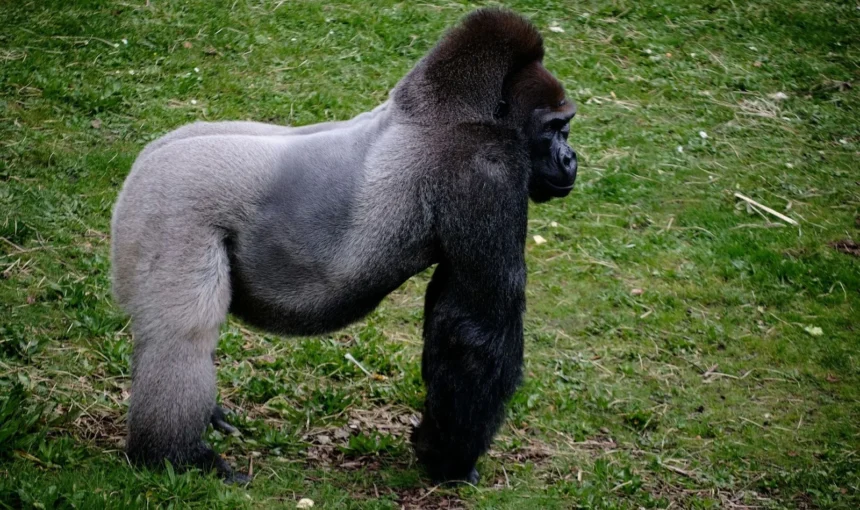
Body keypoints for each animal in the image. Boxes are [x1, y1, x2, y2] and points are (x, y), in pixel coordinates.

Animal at [111, 7, 577, 485]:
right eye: (556, 128)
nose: (570, 159)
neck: (454, 112)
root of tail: (143, 164)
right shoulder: (488, 168)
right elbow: (476, 330)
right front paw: (450, 460)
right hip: (168, 208)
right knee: (182, 335)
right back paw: (174, 456)